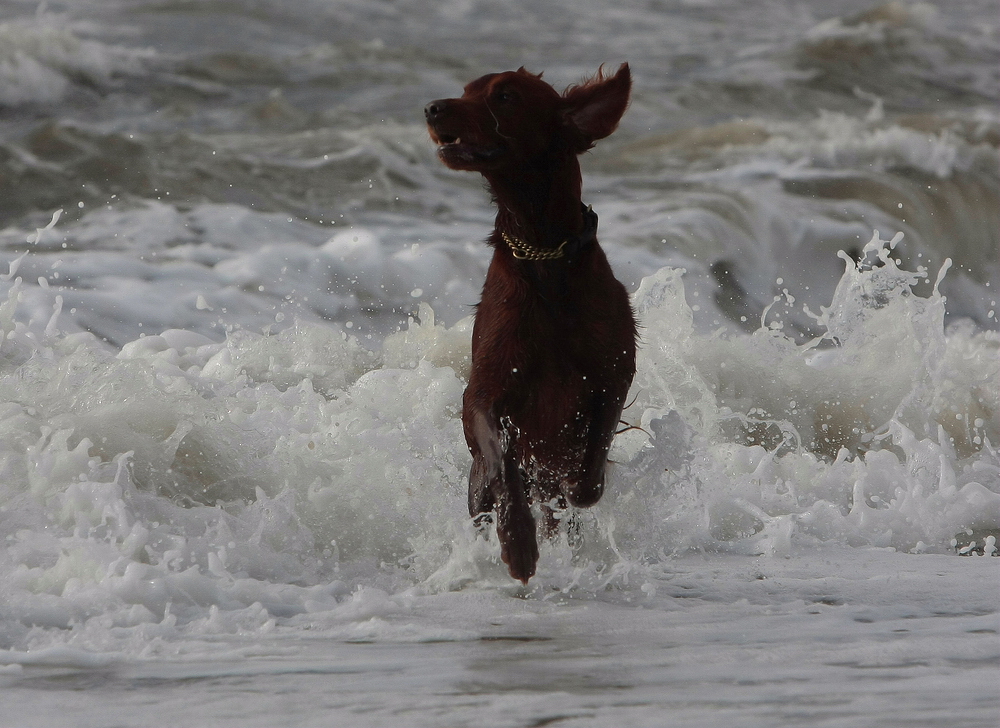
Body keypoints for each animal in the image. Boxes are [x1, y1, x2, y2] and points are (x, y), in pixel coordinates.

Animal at [426, 65, 636, 584]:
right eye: (465, 91)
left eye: (504, 96)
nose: (432, 108)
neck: (545, 256)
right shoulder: (485, 389)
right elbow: (502, 460)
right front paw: (518, 543)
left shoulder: (614, 371)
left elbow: (591, 464)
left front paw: (578, 486)